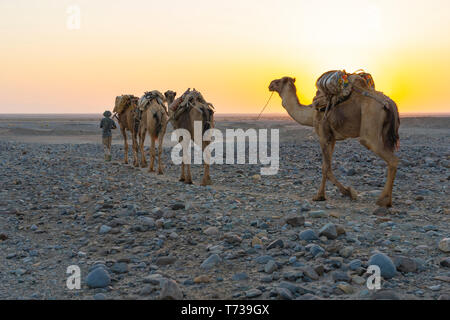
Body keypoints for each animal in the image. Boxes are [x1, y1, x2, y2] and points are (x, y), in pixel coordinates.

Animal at [268, 75, 400, 208]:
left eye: (279, 81)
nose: (270, 84)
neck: (311, 114)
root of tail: (390, 103)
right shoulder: (332, 138)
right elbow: (328, 167)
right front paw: (345, 192)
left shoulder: (323, 136)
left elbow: (325, 167)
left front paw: (324, 195)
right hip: (385, 133)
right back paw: (387, 200)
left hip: (370, 123)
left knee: (391, 158)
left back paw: (383, 200)